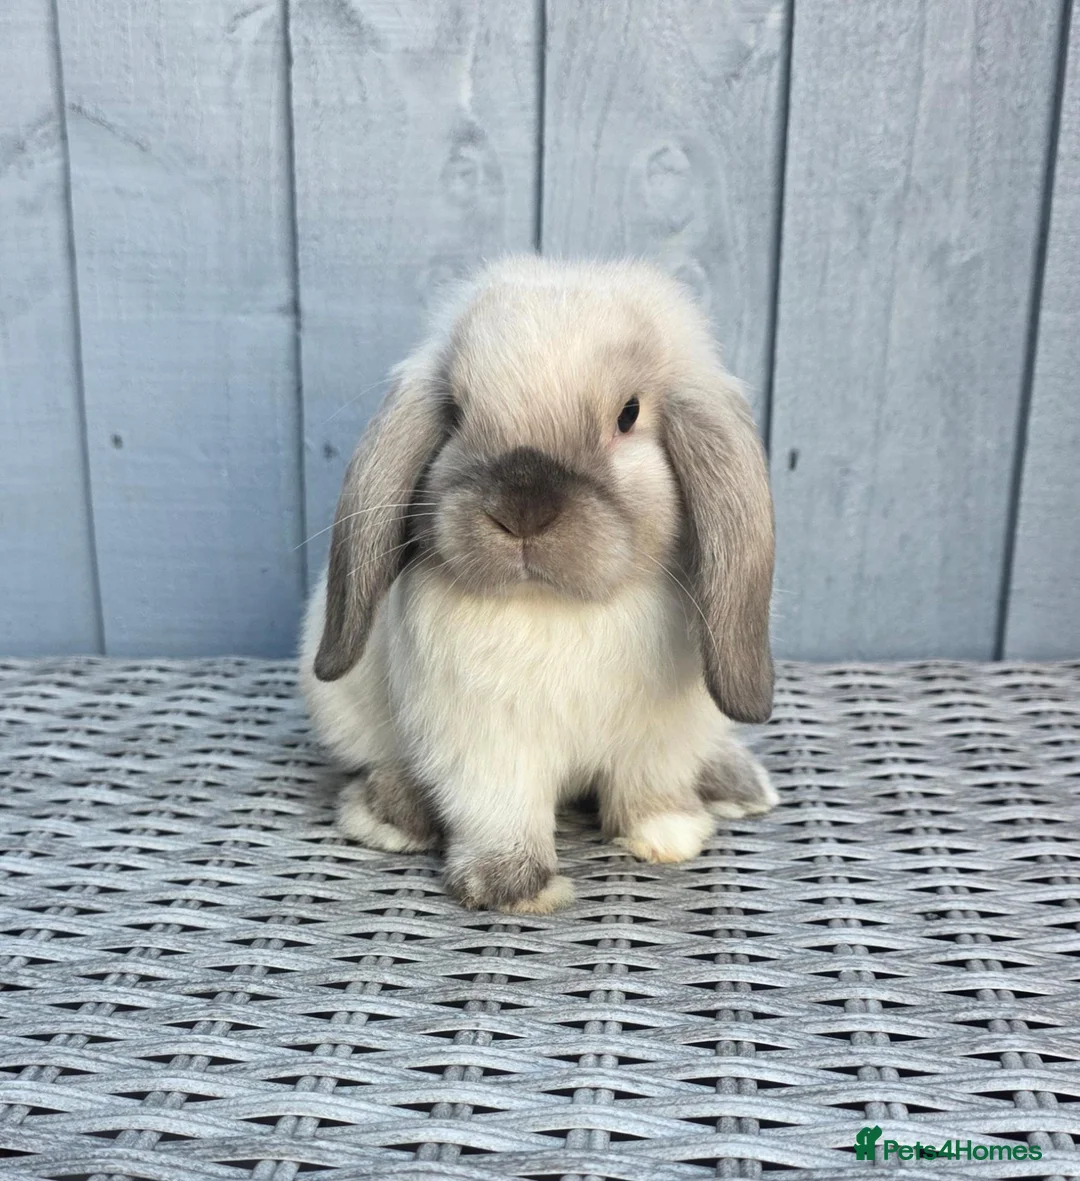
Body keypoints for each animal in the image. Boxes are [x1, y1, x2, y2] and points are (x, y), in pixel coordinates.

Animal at [299, 255, 777, 914]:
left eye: (628, 414)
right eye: (455, 415)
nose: (521, 510)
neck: (561, 607)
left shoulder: (657, 740)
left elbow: (648, 789)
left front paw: (668, 835)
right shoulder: (488, 744)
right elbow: (500, 810)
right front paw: (512, 889)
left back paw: (734, 785)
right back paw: (392, 815)